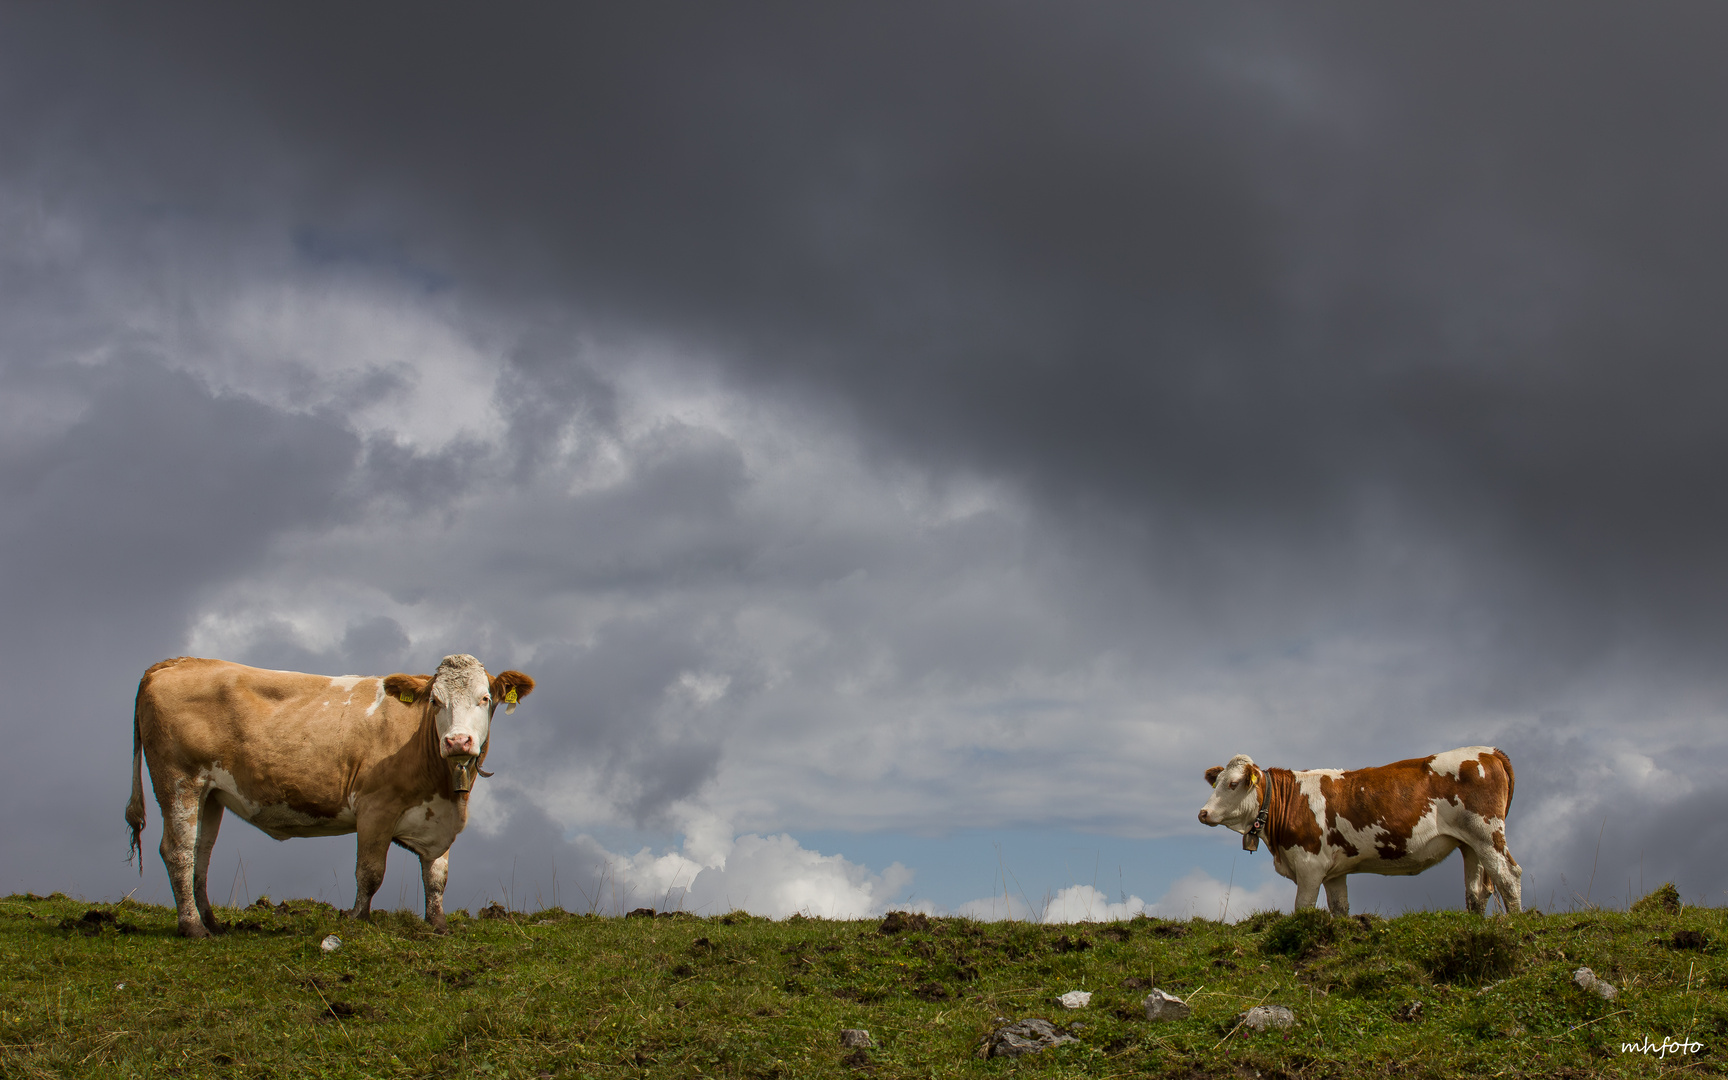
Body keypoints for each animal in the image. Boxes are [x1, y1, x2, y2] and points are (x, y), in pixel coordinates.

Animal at [125, 649, 532, 933]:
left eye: (485, 699)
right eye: (435, 701)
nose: (457, 741)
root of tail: (175, 663)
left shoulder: (437, 817)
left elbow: (436, 876)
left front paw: (438, 926)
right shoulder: (375, 807)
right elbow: (370, 872)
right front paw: (357, 919)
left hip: (209, 794)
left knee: (201, 854)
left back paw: (211, 922)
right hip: (179, 781)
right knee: (178, 851)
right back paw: (192, 927)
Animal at [1195, 746, 1520, 912]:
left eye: (1233, 784)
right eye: (1217, 781)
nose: (1203, 813)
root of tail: (1488, 751)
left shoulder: (1310, 866)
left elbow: (1303, 908)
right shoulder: (1334, 872)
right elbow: (1339, 908)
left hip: (1487, 833)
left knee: (1508, 877)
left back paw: (1515, 925)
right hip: (1470, 843)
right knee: (1477, 891)